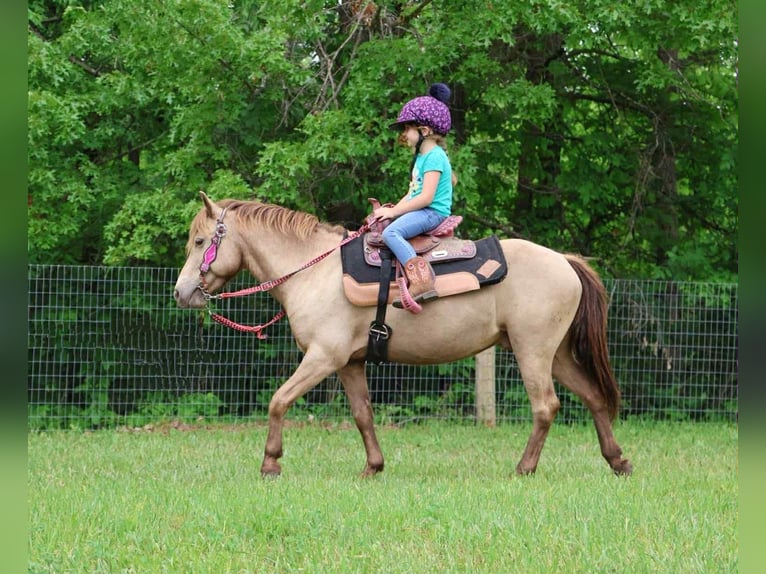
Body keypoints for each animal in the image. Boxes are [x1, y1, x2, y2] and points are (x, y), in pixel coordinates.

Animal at [174, 191, 632, 478]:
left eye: (199, 241)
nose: (181, 292)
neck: (315, 271)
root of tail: (565, 261)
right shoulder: (350, 363)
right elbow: (363, 415)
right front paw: (372, 467)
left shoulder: (324, 356)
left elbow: (278, 400)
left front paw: (270, 464)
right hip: (555, 354)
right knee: (593, 398)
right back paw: (617, 461)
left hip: (532, 351)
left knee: (545, 406)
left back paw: (524, 468)